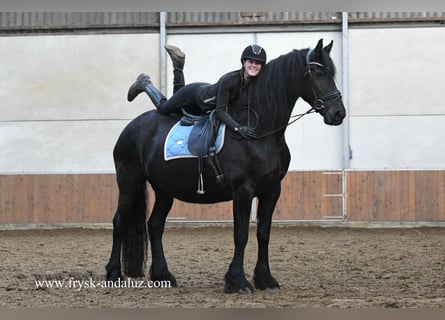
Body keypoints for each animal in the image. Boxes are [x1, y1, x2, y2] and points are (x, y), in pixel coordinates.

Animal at [106, 39, 346, 292]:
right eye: (318, 73)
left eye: (332, 73)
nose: (338, 113)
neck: (259, 131)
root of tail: (132, 127)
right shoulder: (243, 190)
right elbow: (241, 235)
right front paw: (237, 281)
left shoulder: (272, 190)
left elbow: (264, 233)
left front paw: (265, 279)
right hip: (130, 181)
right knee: (120, 222)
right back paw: (114, 274)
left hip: (164, 189)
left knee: (154, 225)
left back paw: (163, 275)